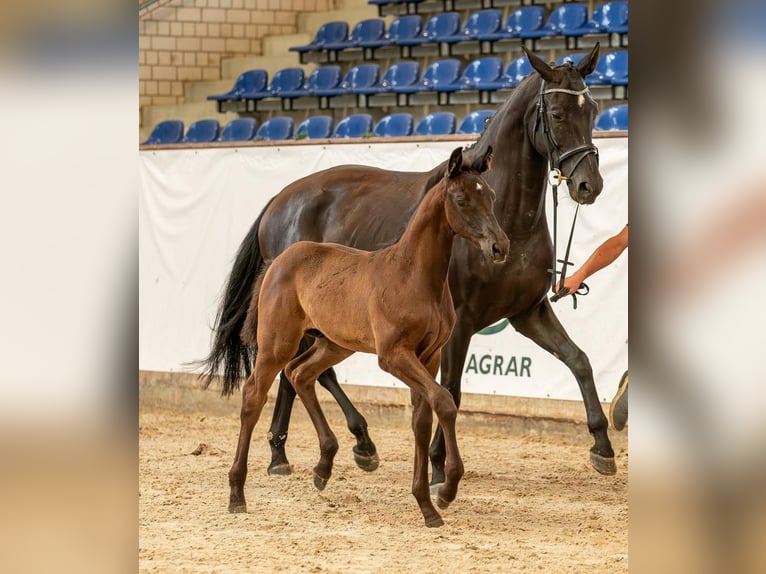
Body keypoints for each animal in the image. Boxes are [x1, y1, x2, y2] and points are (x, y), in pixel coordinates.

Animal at [226, 146, 508, 527]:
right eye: (462, 199)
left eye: (490, 196)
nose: (500, 247)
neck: (413, 275)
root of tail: (280, 260)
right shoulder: (393, 355)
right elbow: (444, 402)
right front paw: (447, 490)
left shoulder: (428, 356)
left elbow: (423, 419)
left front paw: (426, 504)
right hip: (277, 343)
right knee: (254, 394)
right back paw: (237, 493)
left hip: (332, 344)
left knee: (300, 374)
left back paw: (324, 466)